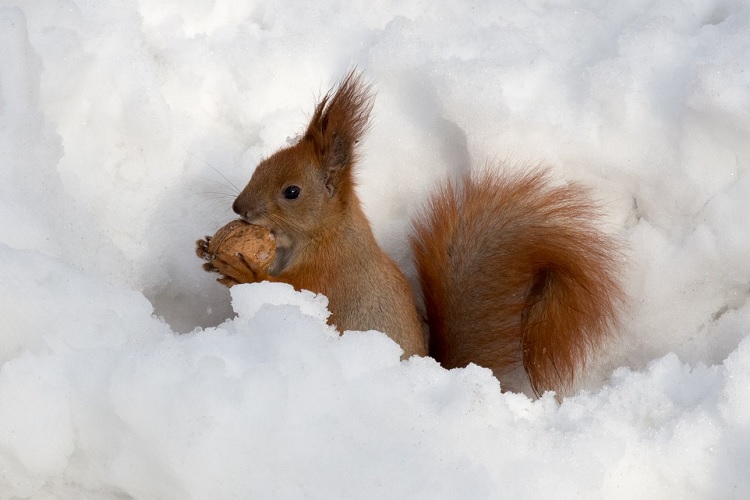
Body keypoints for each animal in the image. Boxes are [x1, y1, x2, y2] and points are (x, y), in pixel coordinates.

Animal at [198, 70, 624, 397]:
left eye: (292, 192)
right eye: (261, 164)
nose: (239, 208)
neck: (322, 234)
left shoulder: (329, 273)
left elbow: (291, 289)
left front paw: (245, 272)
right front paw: (207, 250)